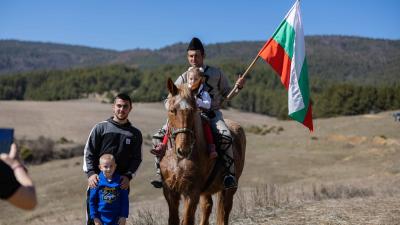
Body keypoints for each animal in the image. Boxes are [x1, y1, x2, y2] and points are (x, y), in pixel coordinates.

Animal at [159, 78, 247, 225]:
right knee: (207, 207)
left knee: (225, 211)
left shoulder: (192, 192)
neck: (178, 159)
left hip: (229, 189)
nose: (184, 150)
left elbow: (187, 220)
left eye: (193, 110)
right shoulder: (170, 191)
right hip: (207, 191)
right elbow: (173, 220)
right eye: (172, 110)